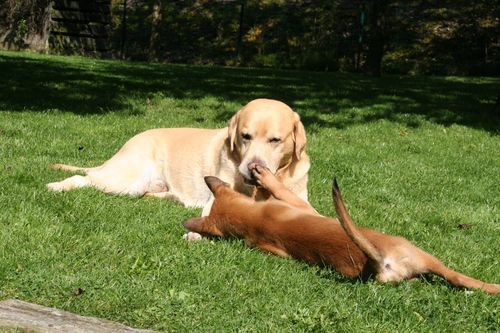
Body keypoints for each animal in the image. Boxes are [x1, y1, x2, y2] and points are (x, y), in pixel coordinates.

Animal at [47, 98, 308, 215]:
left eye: (275, 140)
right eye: (246, 136)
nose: (252, 168)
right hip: (127, 181)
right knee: (83, 179)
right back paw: (57, 186)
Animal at [184, 166, 500, 294]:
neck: (251, 218)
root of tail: (377, 265)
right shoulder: (302, 205)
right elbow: (282, 189)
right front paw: (266, 178)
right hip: (421, 252)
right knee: (458, 277)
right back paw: (492, 288)